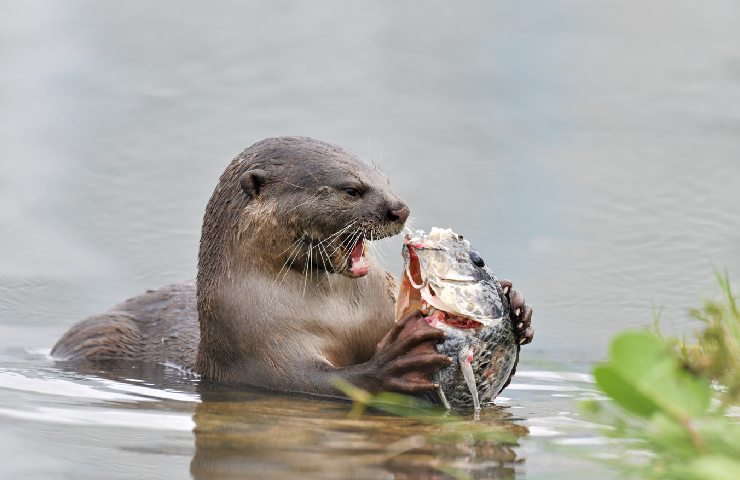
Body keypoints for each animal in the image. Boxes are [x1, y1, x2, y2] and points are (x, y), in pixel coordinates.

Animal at [52, 137, 532, 396]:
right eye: (352, 189)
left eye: (384, 179)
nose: (400, 208)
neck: (339, 317)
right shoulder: (252, 347)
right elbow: (308, 380)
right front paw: (393, 365)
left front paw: (516, 307)